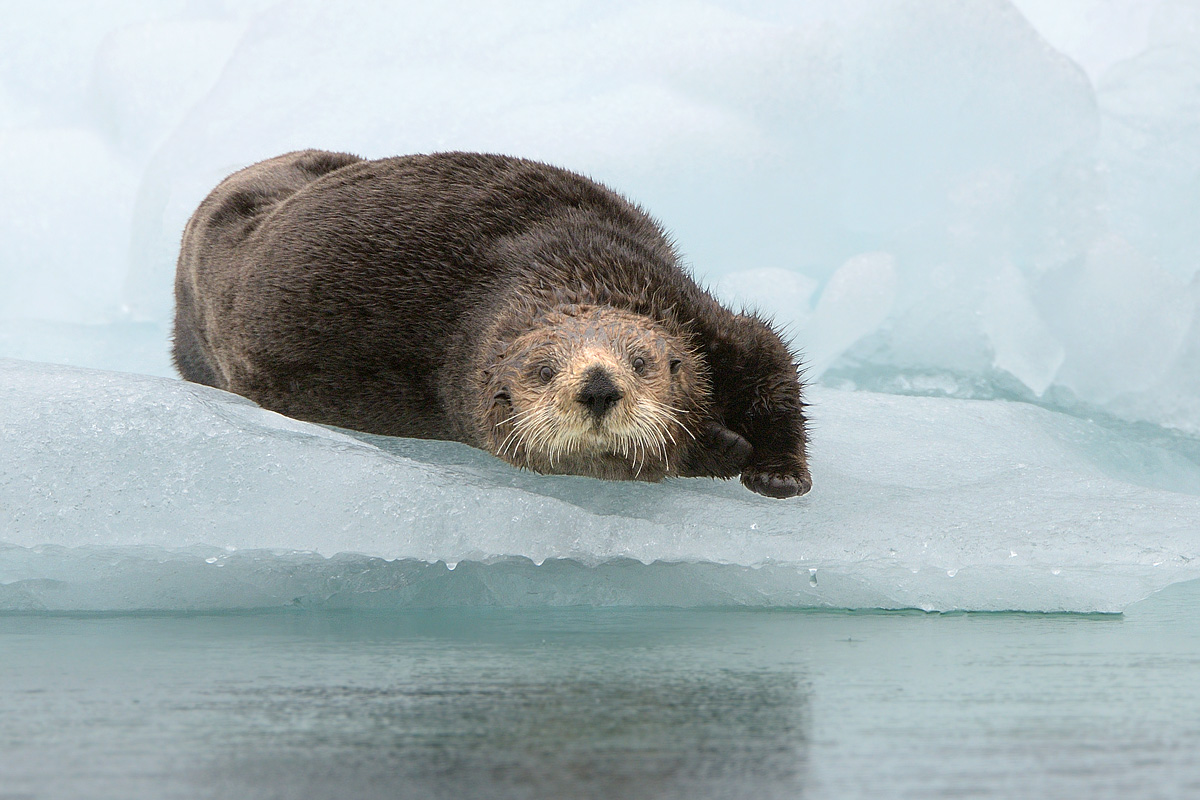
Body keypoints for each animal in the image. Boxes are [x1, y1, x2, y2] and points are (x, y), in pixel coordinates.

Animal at [173, 150, 810, 498]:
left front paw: (780, 475)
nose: (598, 387)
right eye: (542, 372)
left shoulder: (699, 317)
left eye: (641, 362)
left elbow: (773, 369)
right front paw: (718, 445)